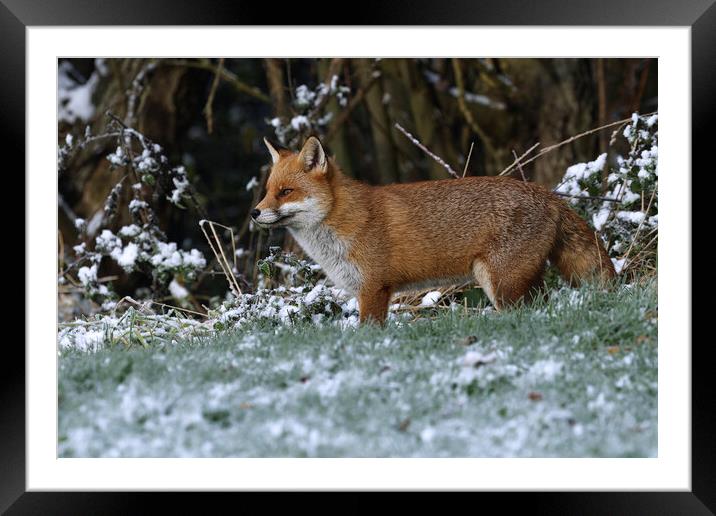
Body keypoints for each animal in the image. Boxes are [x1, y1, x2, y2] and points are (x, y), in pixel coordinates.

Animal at [252, 136, 616, 322]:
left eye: (286, 192)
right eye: (268, 191)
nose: (254, 213)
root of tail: (548, 194)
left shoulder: (374, 288)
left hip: (501, 284)